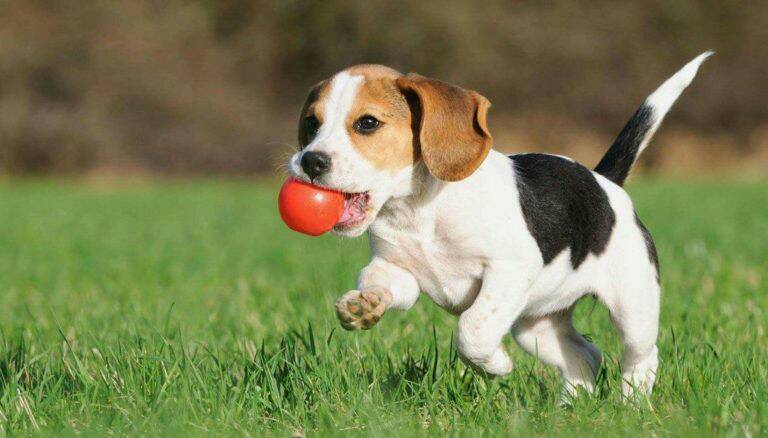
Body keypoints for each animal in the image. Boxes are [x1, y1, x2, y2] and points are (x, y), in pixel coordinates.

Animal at [288, 53, 712, 398]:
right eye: (311, 123)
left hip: (632, 307)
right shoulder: (398, 271)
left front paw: (495, 365)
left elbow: (472, 329)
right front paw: (364, 305)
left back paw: (632, 405)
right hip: (536, 326)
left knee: (641, 357)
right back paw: (569, 409)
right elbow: (379, 281)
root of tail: (603, 181)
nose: (310, 161)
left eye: (367, 123)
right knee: (586, 356)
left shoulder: (509, 269)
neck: (418, 211)